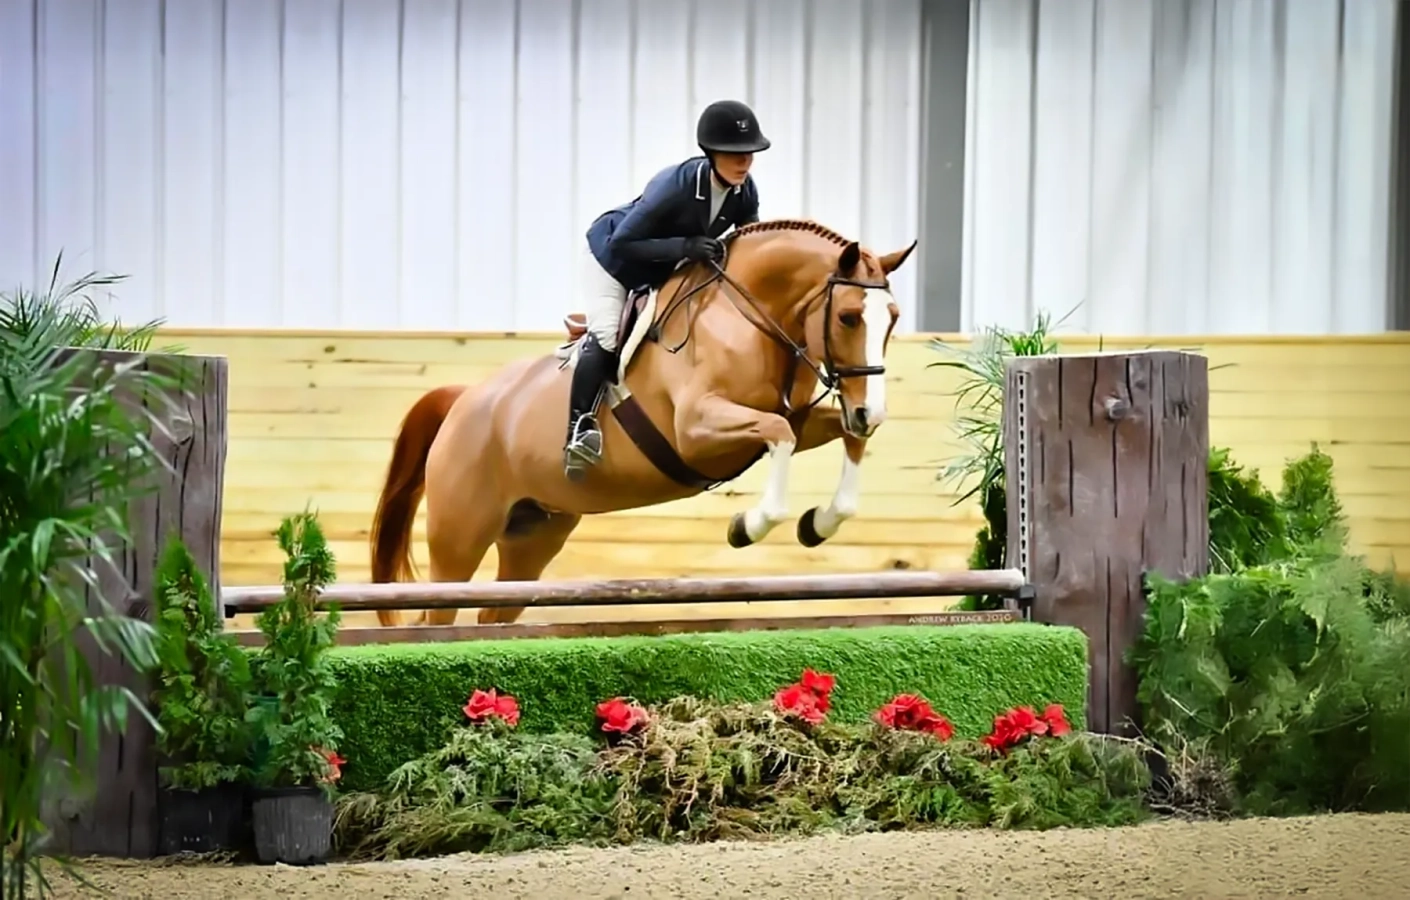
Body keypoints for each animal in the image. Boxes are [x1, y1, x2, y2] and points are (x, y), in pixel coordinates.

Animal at [368, 218, 917, 627]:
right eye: (848, 317)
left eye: (891, 317)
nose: (871, 410)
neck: (747, 316)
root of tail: (464, 399)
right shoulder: (696, 432)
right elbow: (776, 436)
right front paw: (747, 526)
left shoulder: (794, 420)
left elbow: (839, 437)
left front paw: (818, 524)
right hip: (459, 536)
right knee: (438, 613)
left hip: (533, 535)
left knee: (493, 613)